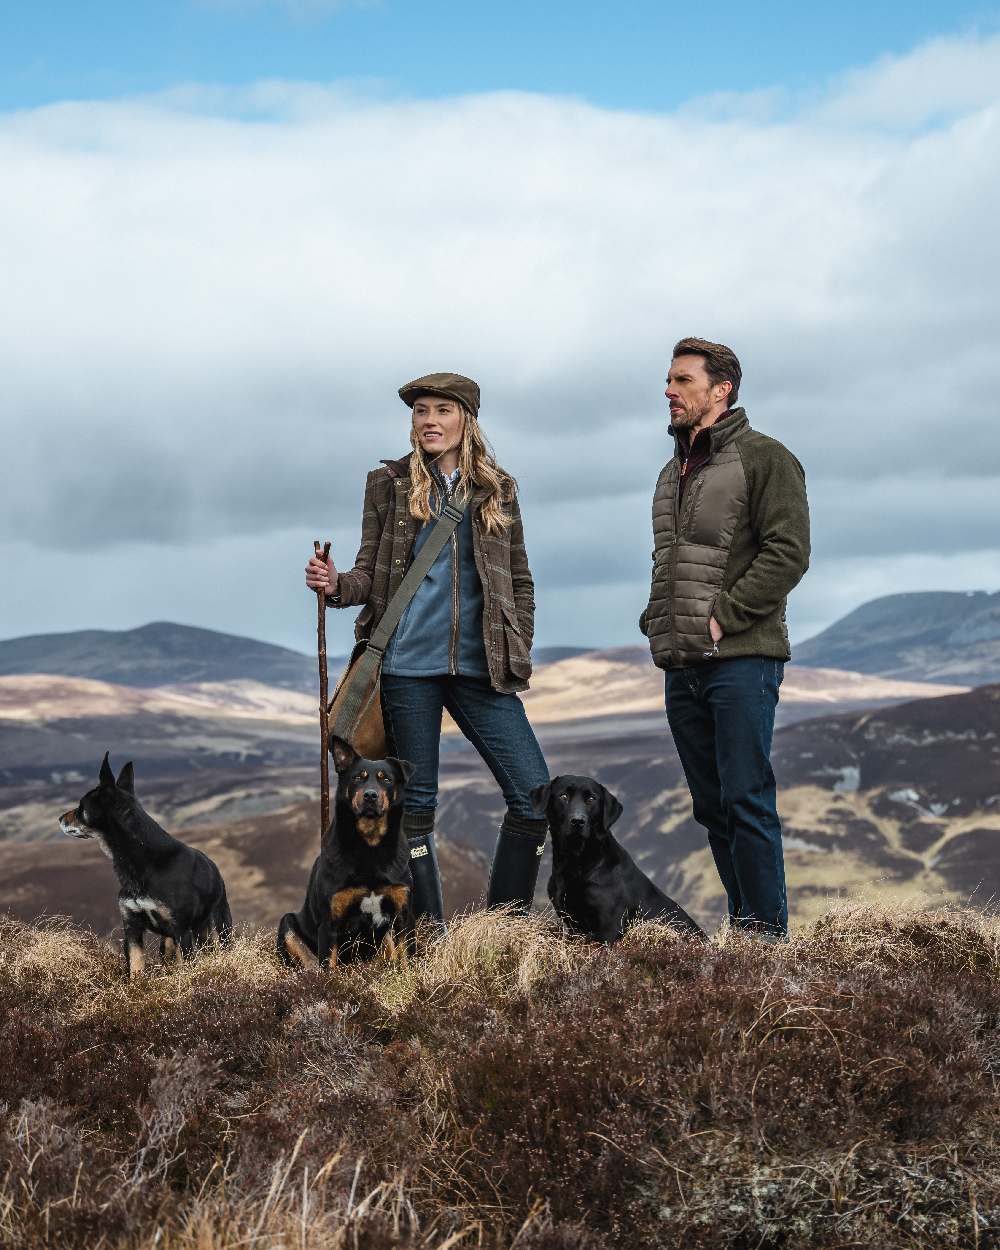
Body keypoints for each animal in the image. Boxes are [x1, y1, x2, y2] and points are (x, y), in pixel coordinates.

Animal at [60, 750, 235, 975]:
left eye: (81, 807)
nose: (60, 819)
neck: (143, 860)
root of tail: (214, 868)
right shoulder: (132, 927)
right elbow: (136, 968)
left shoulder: (181, 930)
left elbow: (187, 967)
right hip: (170, 941)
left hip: (219, 923)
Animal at [277, 735, 415, 970]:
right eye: (358, 777)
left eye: (386, 779)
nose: (370, 795)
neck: (370, 846)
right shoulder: (330, 920)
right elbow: (328, 966)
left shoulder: (402, 912)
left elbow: (406, 958)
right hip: (288, 923)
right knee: (307, 957)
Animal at [535, 775, 705, 940]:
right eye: (563, 796)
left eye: (591, 799)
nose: (578, 821)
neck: (577, 859)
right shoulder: (572, 925)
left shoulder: (608, 928)